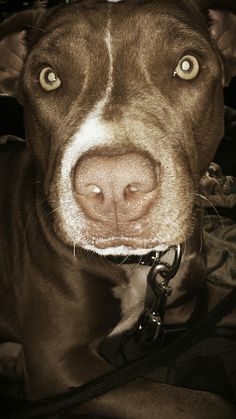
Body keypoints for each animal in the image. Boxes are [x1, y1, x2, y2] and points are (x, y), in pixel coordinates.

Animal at [0, 0, 236, 418]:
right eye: (48, 77)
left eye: (187, 65)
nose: (113, 186)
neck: (139, 264)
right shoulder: (58, 368)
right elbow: (205, 403)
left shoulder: (188, 306)